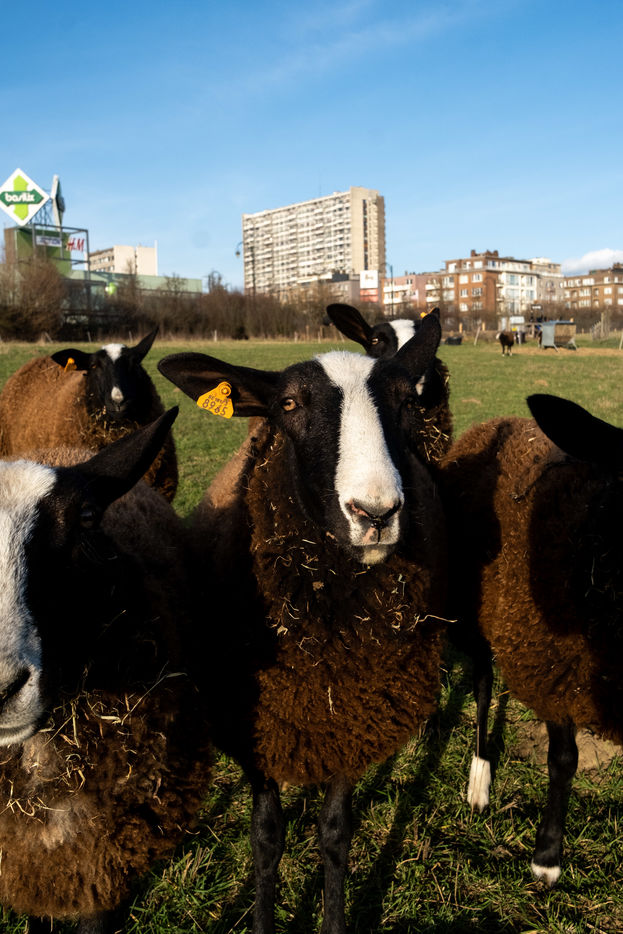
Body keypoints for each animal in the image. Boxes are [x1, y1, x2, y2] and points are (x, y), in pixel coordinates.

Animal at [439, 393, 623, 886]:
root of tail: (498, 422)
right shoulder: (557, 674)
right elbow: (562, 761)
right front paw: (547, 856)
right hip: (472, 614)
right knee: (483, 687)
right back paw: (479, 782)